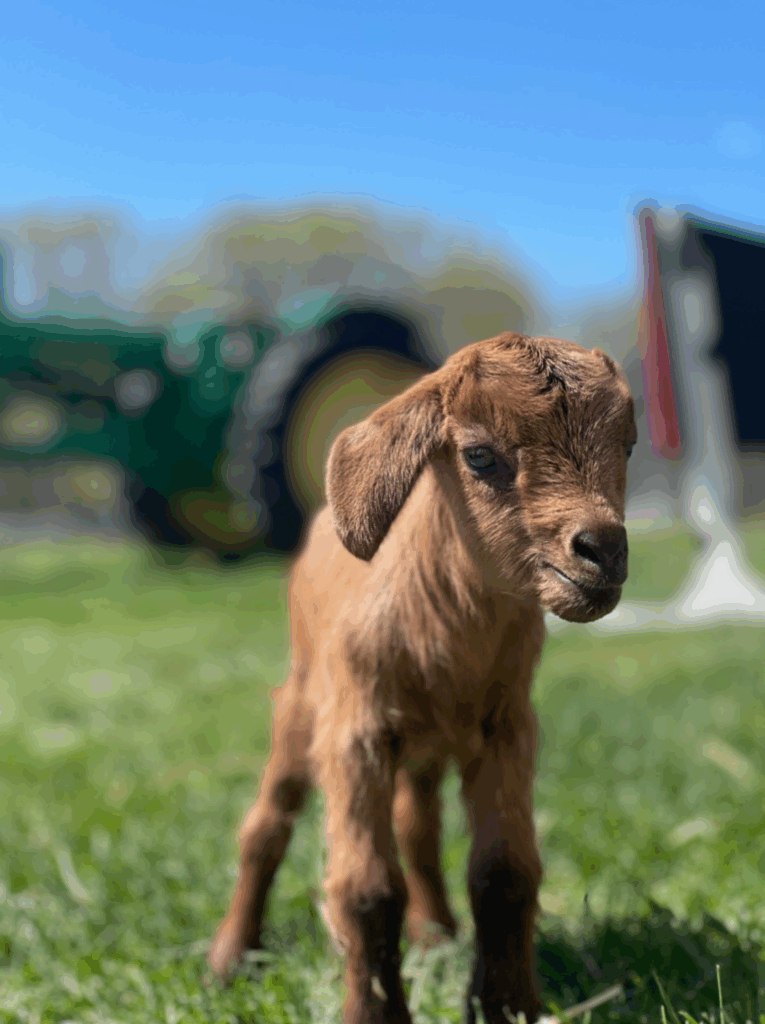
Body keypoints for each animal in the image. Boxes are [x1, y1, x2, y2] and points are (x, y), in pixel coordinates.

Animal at [209, 332, 636, 1023]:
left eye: (627, 445)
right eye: (480, 456)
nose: (604, 549)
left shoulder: (507, 727)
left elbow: (504, 871)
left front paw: (508, 1004)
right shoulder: (355, 732)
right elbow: (365, 888)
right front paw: (375, 1013)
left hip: (427, 747)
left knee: (419, 827)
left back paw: (437, 934)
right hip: (303, 705)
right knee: (266, 824)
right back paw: (229, 958)